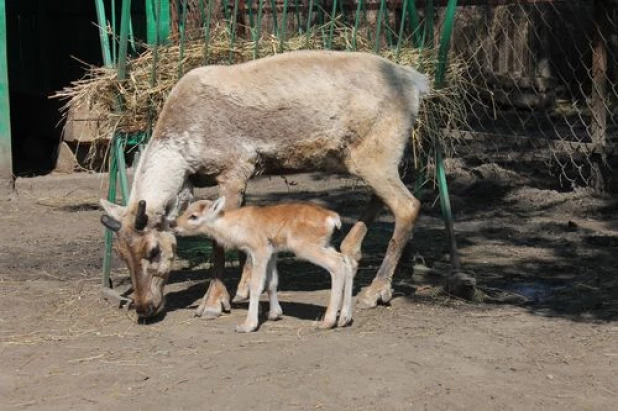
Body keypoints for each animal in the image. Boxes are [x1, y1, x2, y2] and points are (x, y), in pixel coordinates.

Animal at [101, 50, 428, 320]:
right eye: (120, 253)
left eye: (154, 250)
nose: (144, 308)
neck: (183, 148)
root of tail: (414, 80)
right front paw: (243, 288)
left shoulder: (234, 170)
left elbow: (220, 241)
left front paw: (215, 302)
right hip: (364, 158)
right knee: (380, 198)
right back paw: (351, 253)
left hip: (377, 155)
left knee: (407, 205)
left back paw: (375, 291)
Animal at [173, 198, 356, 334]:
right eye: (186, 210)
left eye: (194, 216)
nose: (175, 226)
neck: (234, 226)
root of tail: (332, 218)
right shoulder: (272, 253)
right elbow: (272, 282)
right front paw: (274, 314)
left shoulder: (258, 250)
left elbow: (256, 285)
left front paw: (247, 325)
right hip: (325, 245)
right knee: (346, 261)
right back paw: (344, 319)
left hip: (307, 248)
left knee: (337, 265)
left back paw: (327, 322)